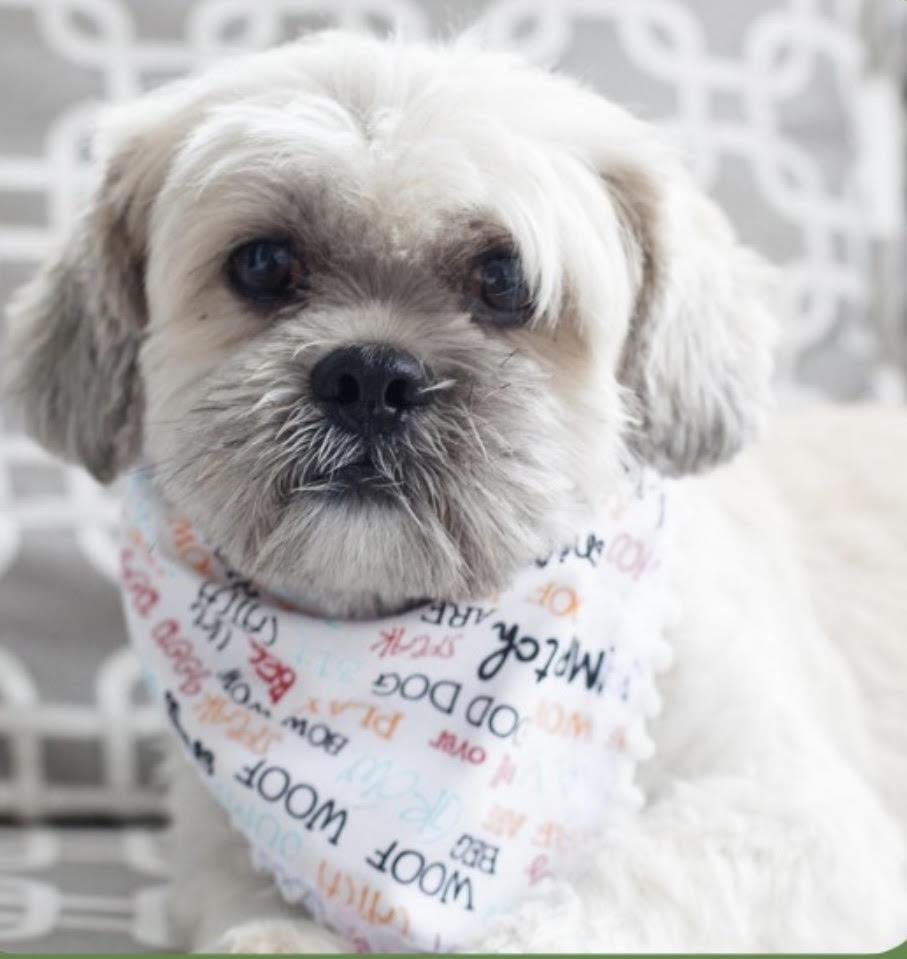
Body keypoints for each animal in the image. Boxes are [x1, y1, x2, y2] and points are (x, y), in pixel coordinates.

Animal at [3, 28, 904, 952]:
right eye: (262, 263)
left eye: (504, 280)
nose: (369, 375)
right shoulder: (213, 853)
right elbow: (252, 916)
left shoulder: (791, 819)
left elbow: (614, 890)